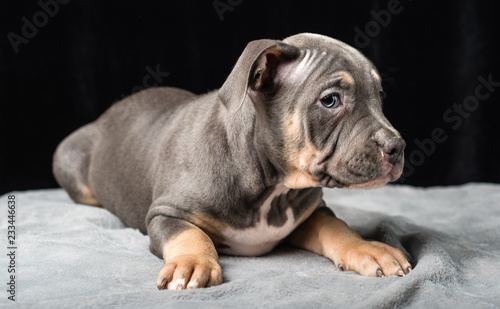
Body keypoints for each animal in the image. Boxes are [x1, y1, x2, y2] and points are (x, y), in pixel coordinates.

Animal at [54, 33, 412, 288]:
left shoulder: (310, 212)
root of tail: (105, 116)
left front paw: (368, 248)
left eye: (379, 97)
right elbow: (188, 233)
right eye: (330, 100)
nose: (397, 146)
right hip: (68, 162)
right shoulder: (164, 212)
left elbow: (336, 226)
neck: (272, 186)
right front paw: (193, 262)